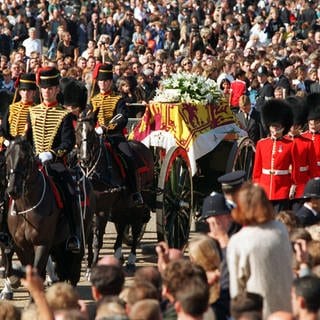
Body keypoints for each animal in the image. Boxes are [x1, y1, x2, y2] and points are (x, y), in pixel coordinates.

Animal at [5, 137, 93, 284]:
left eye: (25, 158)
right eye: (7, 158)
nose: (13, 190)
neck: (26, 207)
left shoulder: (42, 243)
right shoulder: (21, 246)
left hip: (81, 235)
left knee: (74, 268)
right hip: (58, 244)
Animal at [75, 110, 154, 272]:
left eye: (91, 133)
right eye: (77, 131)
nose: (85, 159)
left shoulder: (103, 209)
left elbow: (97, 239)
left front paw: (93, 267)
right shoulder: (89, 208)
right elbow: (89, 237)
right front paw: (89, 265)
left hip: (139, 202)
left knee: (136, 226)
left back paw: (131, 259)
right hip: (122, 204)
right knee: (122, 223)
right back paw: (118, 254)